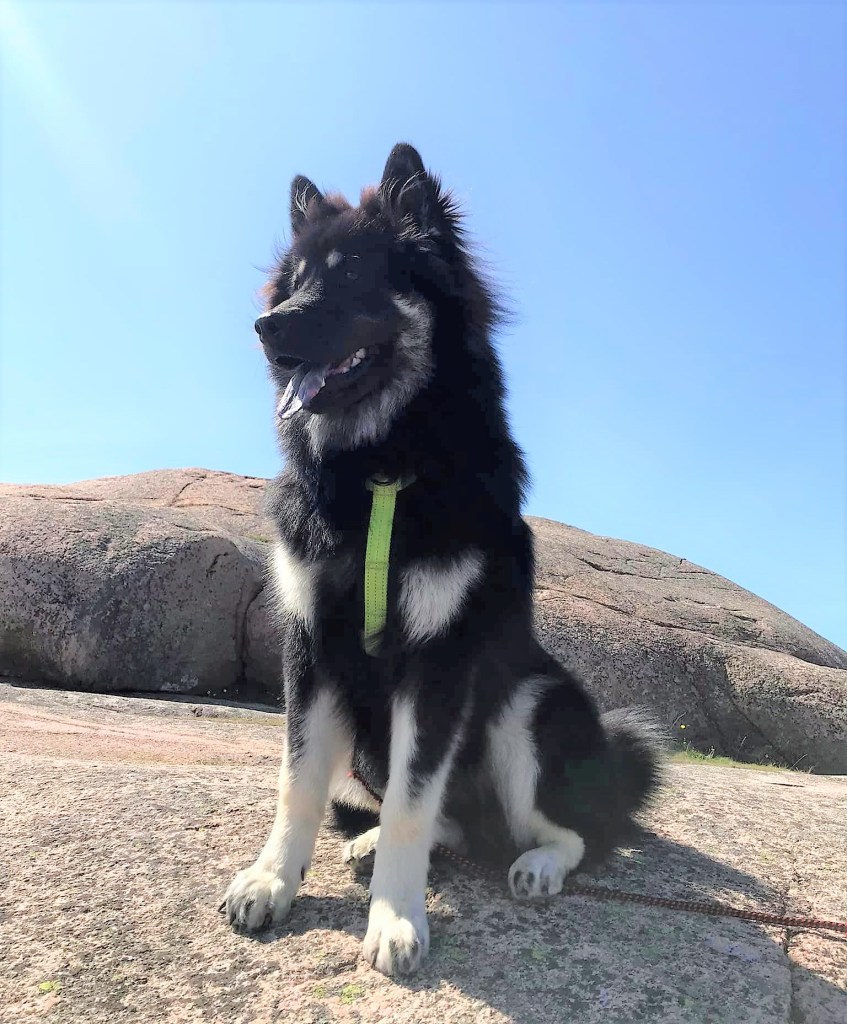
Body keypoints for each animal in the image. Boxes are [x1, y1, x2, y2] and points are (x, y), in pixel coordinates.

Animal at [222, 143, 663, 976]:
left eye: (353, 276)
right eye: (293, 283)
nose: (264, 326)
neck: (381, 465)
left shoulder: (437, 660)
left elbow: (410, 804)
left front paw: (395, 920)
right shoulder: (312, 650)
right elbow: (297, 783)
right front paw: (271, 881)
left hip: (527, 709)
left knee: (572, 833)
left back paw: (538, 864)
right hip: (365, 742)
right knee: (444, 823)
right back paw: (368, 844)